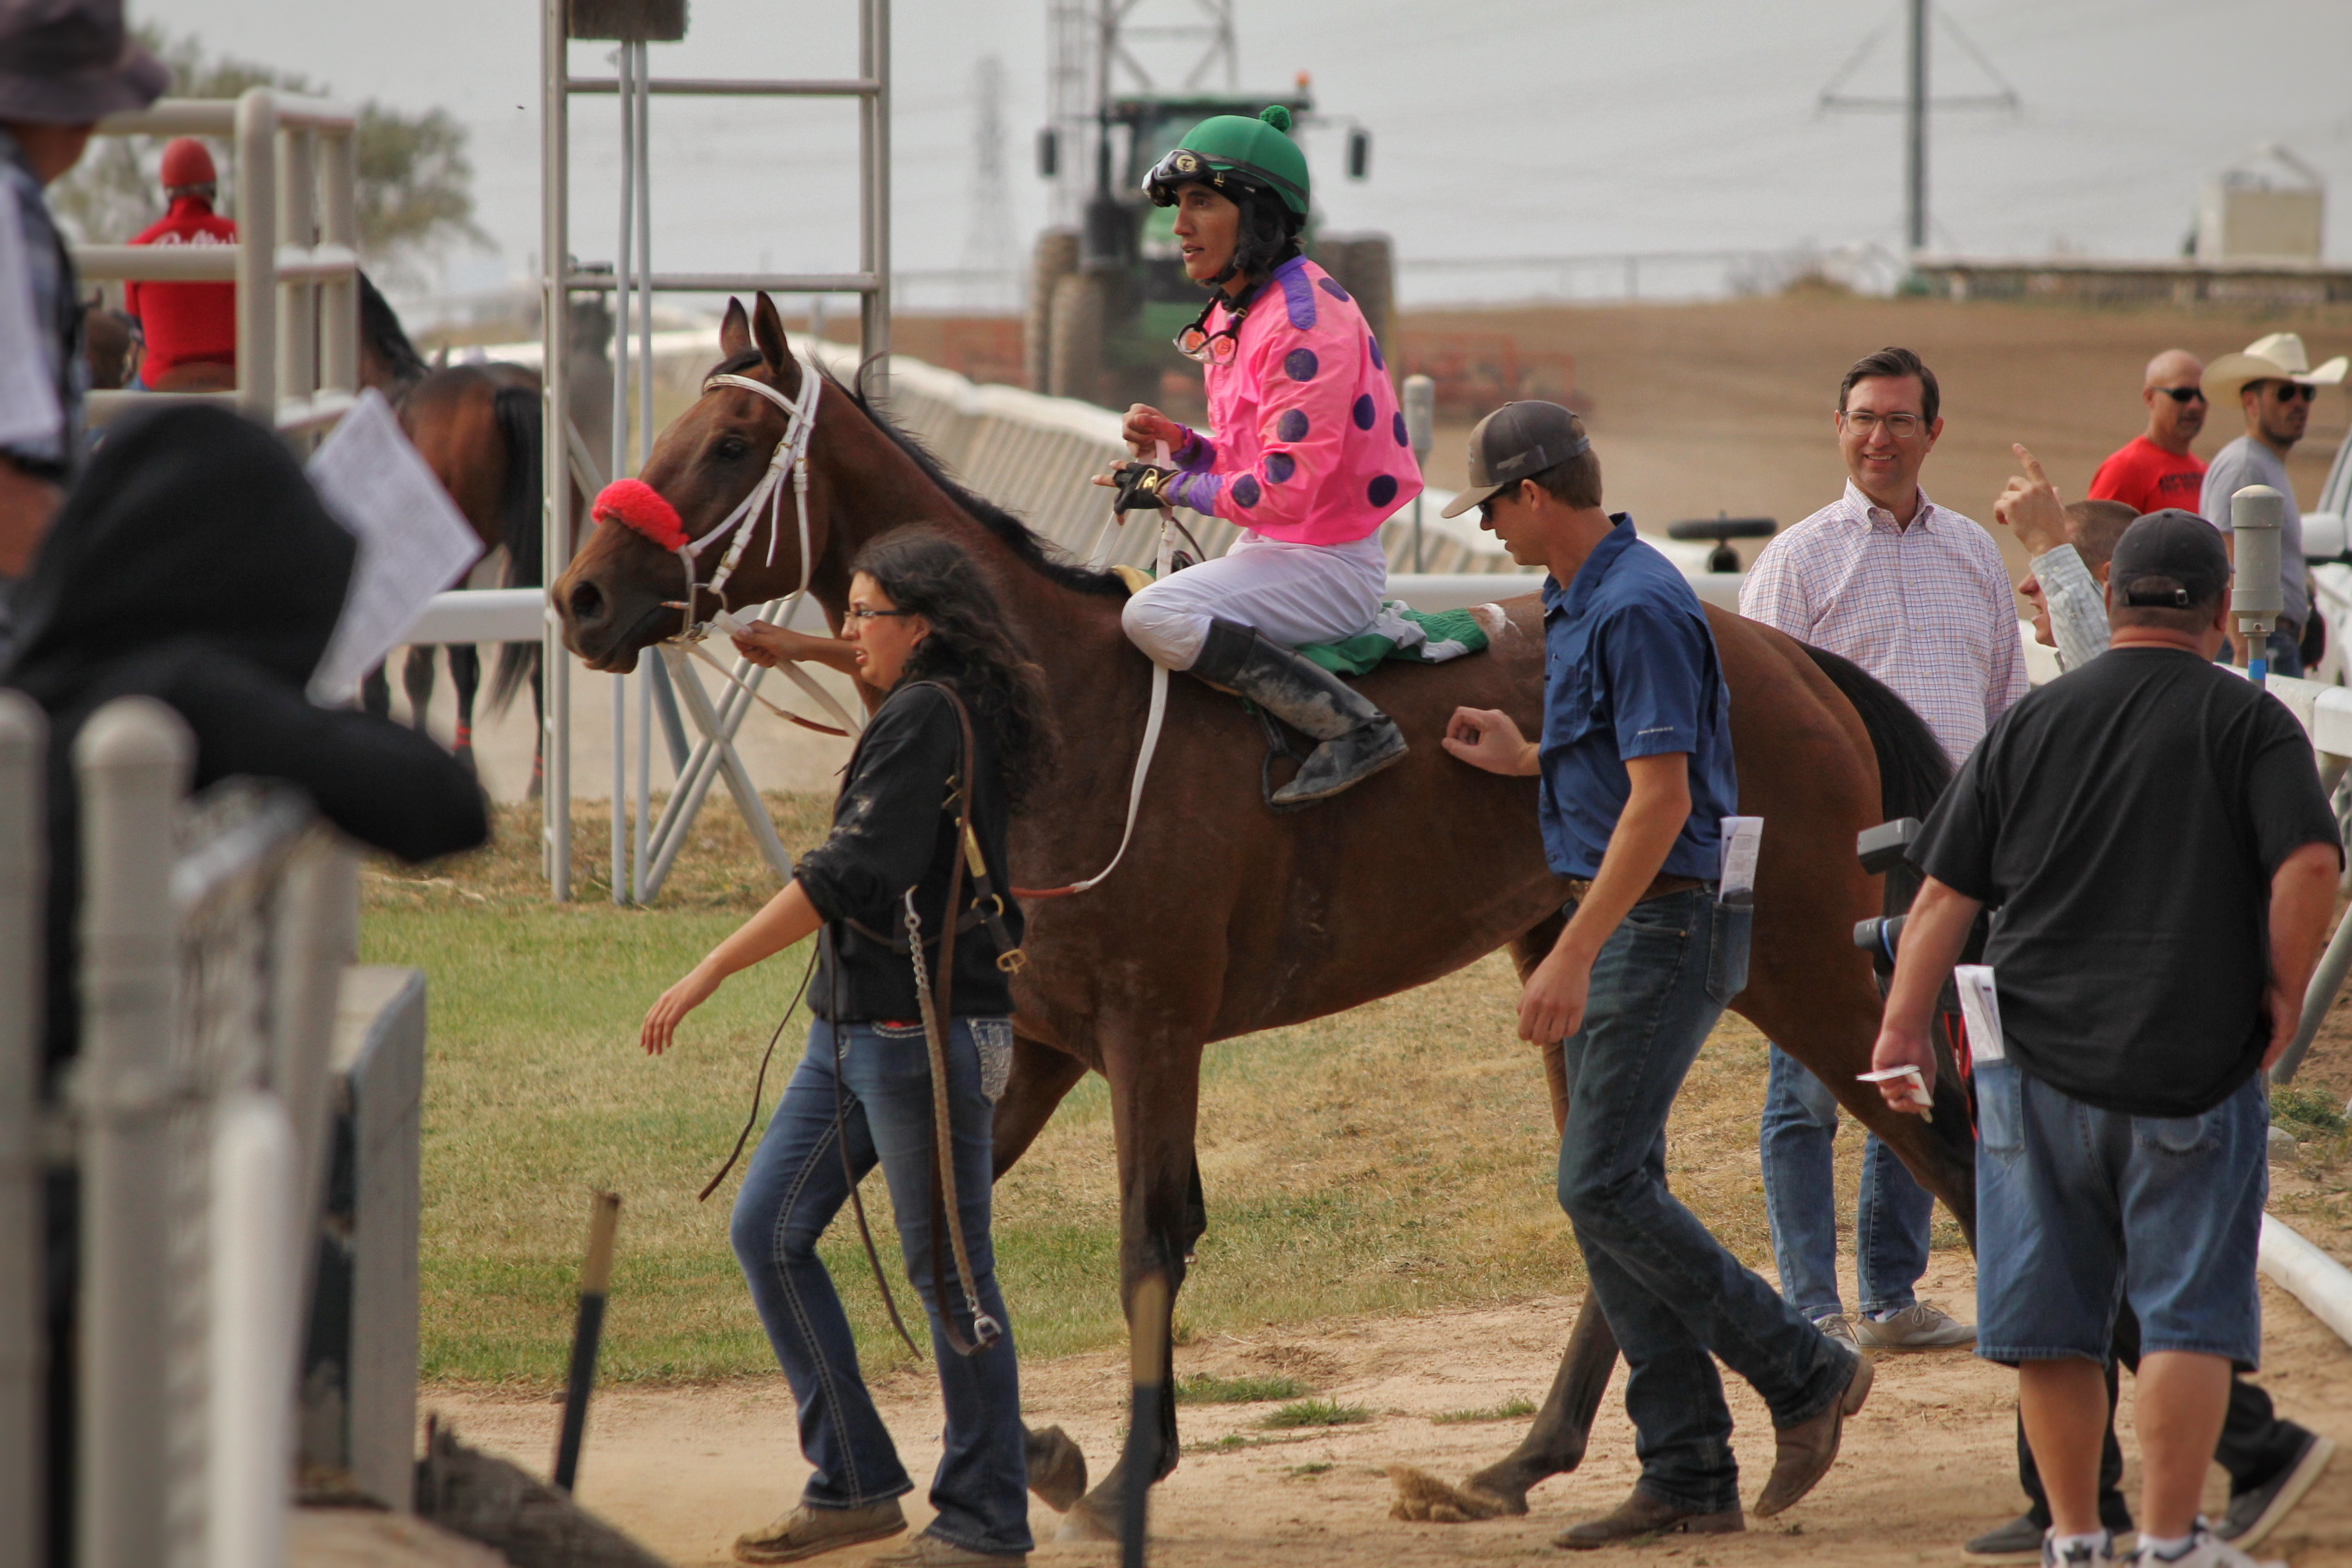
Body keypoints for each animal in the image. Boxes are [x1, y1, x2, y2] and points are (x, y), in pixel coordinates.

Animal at [550, 294, 1966, 1533]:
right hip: (1576, 965)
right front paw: (1033, 1452)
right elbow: (940, 1228)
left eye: (730, 445)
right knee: (1617, 1193)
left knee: (1929, 1132)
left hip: (1804, 962)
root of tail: (1788, 657)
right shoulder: (1043, 1037)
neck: (1051, 712)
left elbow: (1149, 1235)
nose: (579, 597)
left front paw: (1124, 1468)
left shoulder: (1152, 1024)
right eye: (669, 427)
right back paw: (1525, 1462)